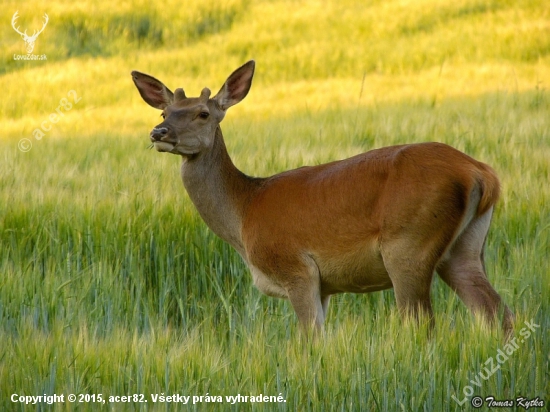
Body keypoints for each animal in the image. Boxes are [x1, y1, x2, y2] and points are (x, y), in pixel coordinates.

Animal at [132, 61, 516, 338]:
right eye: (165, 112)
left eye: (203, 113)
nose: (159, 132)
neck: (245, 212)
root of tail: (482, 174)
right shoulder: (325, 287)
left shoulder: (296, 268)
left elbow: (309, 340)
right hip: (464, 247)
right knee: (497, 312)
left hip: (409, 244)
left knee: (423, 324)